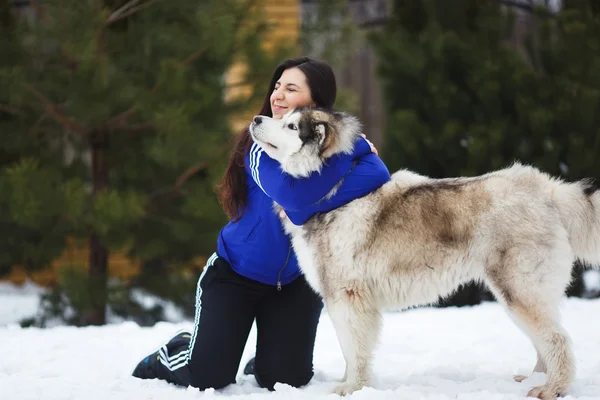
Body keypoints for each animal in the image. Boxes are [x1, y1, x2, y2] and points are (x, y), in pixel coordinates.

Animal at [246, 108, 596, 398]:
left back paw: (550, 389)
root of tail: (548, 190)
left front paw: (352, 388)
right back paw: (535, 379)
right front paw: (351, 383)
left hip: (519, 290)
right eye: (283, 117)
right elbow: (351, 349)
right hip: (520, 293)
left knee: (557, 339)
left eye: (291, 125)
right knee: (546, 338)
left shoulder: (347, 297)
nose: (256, 118)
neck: (332, 193)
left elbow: (353, 348)